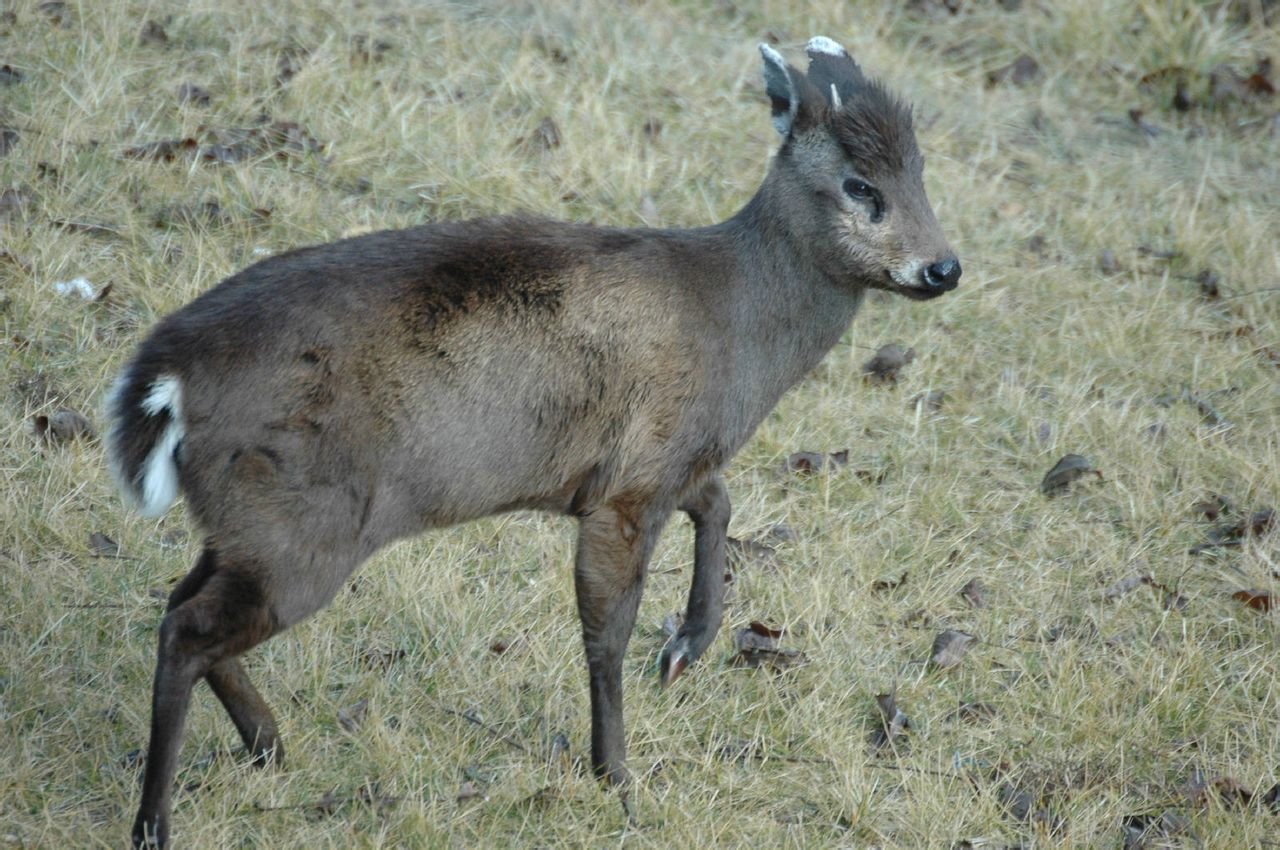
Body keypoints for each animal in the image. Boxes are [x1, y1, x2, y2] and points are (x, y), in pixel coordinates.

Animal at [112, 36, 962, 844]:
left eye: (921, 170)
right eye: (859, 185)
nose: (943, 267)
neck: (737, 328)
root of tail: (164, 377)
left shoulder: (666, 461)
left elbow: (718, 504)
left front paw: (686, 648)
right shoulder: (630, 483)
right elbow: (606, 631)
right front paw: (617, 776)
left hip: (247, 520)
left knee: (179, 599)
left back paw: (268, 743)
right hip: (305, 527)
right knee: (187, 629)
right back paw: (155, 820)